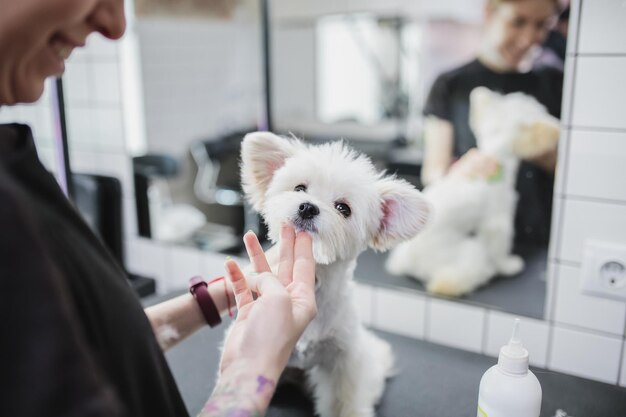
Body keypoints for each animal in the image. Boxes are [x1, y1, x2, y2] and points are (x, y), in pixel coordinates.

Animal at [239, 132, 428, 416]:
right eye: (299, 188)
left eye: (343, 208)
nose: (308, 207)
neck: (314, 279)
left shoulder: (344, 360)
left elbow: (344, 400)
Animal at [388, 87, 560, 296]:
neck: (495, 159)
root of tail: (411, 263)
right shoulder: (498, 221)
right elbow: (500, 247)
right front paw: (508, 265)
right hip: (469, 251)